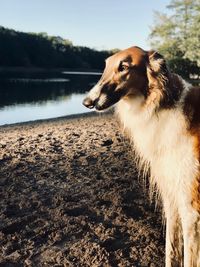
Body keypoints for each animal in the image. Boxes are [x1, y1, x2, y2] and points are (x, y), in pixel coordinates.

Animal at [83, 46, 200, 267]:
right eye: (106, 65)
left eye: (123, 67)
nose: (87, 102)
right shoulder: (171, 197)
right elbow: (171, 250)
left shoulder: (191, 206)